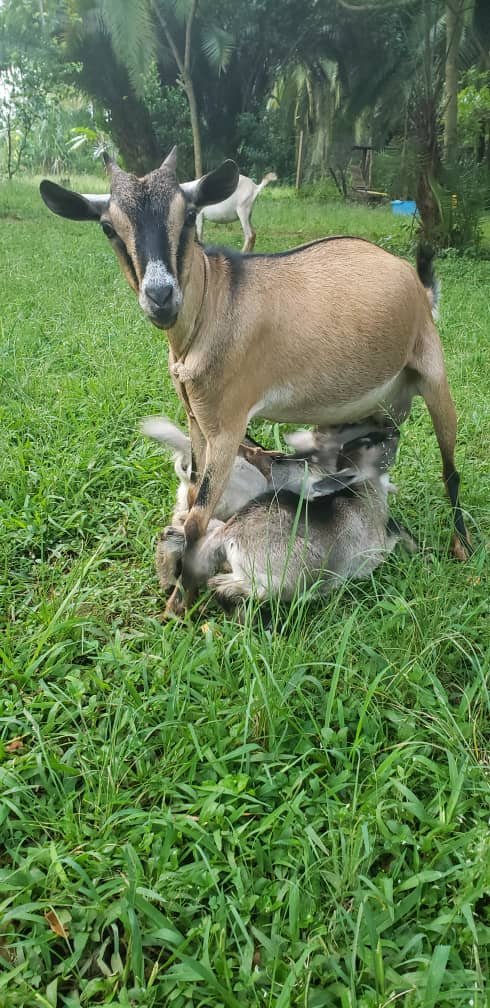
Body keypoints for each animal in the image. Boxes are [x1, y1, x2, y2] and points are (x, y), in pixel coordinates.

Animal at [155, 424, 418, 612]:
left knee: (177, 533)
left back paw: (169, 578)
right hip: (290, 576)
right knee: (230, 587)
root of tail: (231, 534)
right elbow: (400, 533)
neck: (363, 495)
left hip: (218, 526)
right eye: (370, 442)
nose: (395, 431)